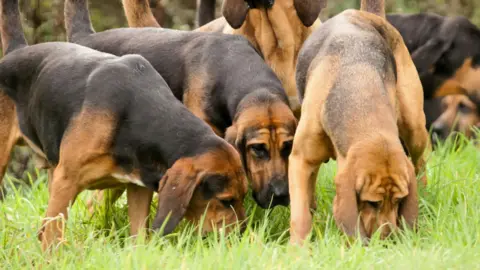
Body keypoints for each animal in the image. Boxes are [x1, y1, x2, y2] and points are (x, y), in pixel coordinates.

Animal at [288, 5, 428, 243]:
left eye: (399, 201)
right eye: (372, 202)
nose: (387, 239)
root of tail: (369, 14)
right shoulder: (300, 159)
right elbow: (300, 215)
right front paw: (297, 247)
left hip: (414, 127)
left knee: (421, 162)